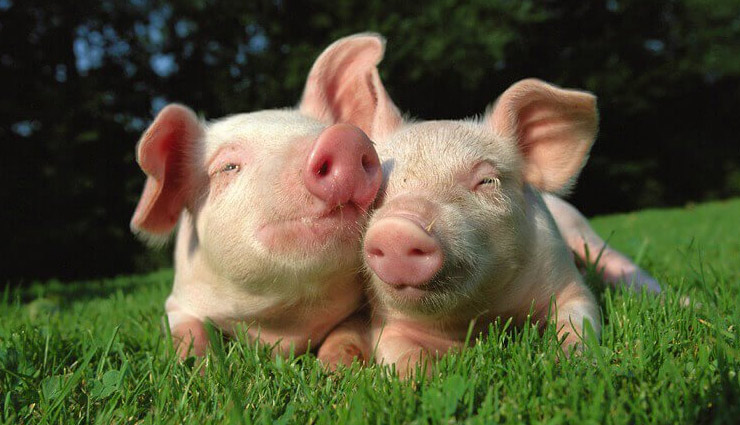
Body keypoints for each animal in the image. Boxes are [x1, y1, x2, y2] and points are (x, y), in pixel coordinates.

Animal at [130, 34, 400, 359]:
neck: (281, 326)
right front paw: (194, 364)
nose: (344, 138)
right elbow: (187, 331)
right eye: (228, 167)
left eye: (327, 130)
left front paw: (336, 366)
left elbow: (345, 334)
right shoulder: (178, 300)